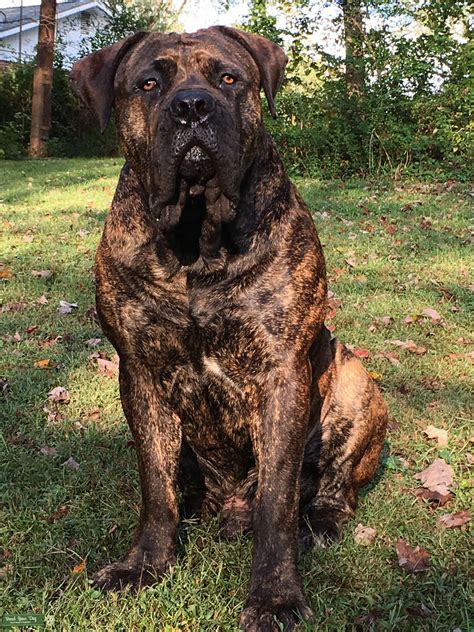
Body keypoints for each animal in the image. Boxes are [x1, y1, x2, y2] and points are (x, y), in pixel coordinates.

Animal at [71, 27, 388, 632]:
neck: (198, 242)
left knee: (332, 484)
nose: (193, 106)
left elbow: (277, 504)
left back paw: (323, 520)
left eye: (227, 78)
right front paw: (143, 566)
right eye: (149, 84)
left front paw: (275, 596)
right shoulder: (140, 372)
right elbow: (156, 489)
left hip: (356, 381)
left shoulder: (283, 373)